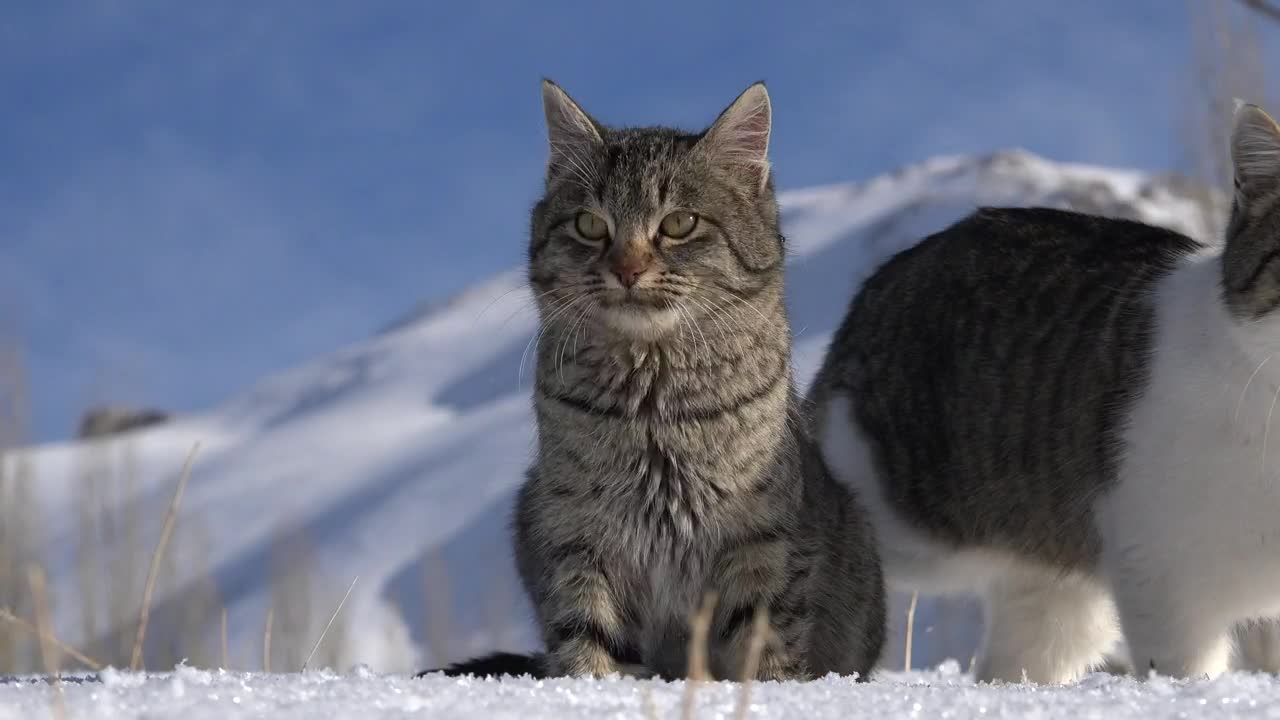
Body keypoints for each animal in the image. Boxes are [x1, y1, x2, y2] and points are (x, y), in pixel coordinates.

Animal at [424, 79, 885, 676]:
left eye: (679, 224)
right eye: (590, 225)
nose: (627, 269)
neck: (653, 402)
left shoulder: (761, 541)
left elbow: (765, 646)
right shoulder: (575, 532)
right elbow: (585, 637)